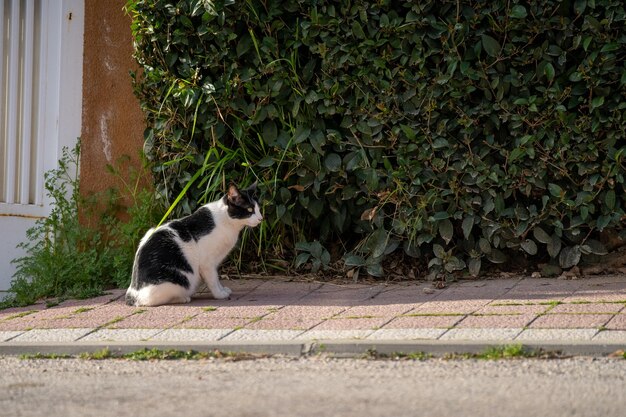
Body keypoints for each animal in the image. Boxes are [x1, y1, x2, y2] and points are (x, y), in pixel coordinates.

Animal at [124, 182, 260, 306]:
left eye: (258, 209)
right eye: (249, 209)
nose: (261, 218)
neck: (226, 222)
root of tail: (133, 294)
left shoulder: (213, 263)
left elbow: (216, 278)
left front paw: (222, 289)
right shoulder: (207, 263)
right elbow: (212, 280)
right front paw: (219, 294)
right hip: (179, 280)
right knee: (150, 301)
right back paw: (182, 298)